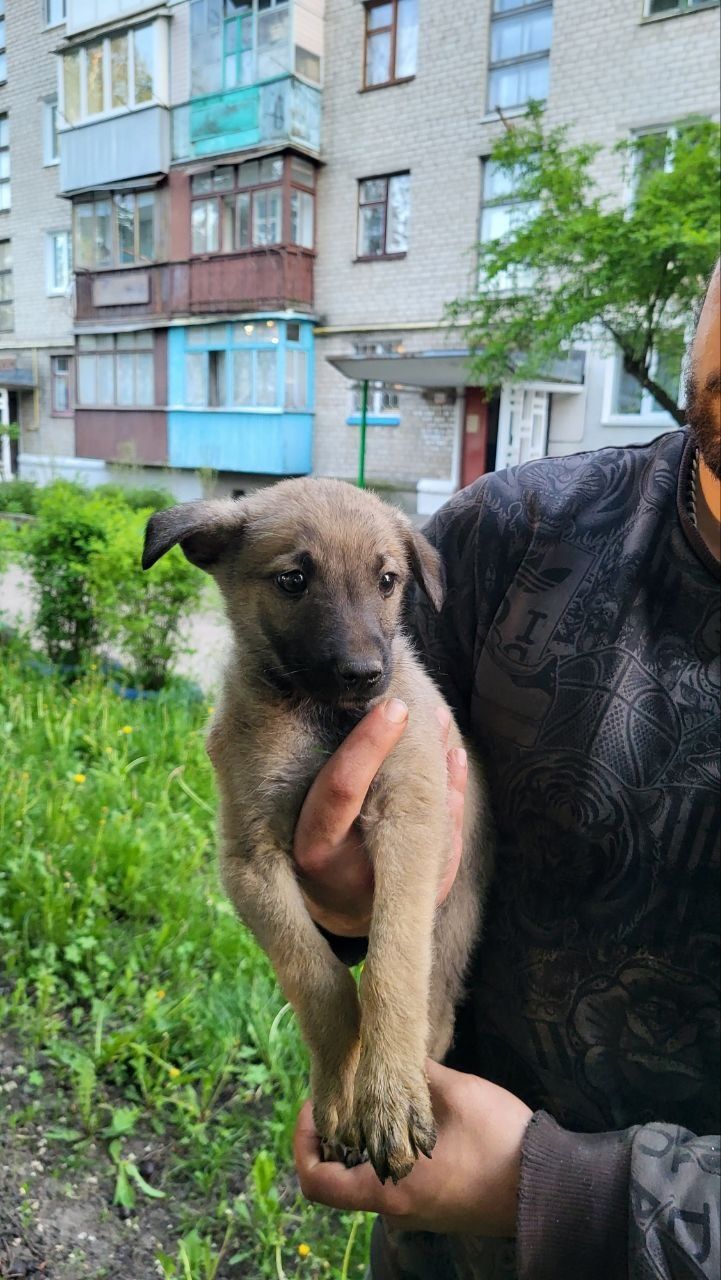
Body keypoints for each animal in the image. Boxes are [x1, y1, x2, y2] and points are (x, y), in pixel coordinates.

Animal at [144, 481, 494, 1187]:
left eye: (388, 581)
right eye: (293, 580)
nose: (364, 674)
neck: (325, 719)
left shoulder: (410, 818)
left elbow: (391, 964)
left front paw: (390, 1099)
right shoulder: (249, 860)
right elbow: (318, 978)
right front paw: (341, 1100)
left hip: (452, 933)